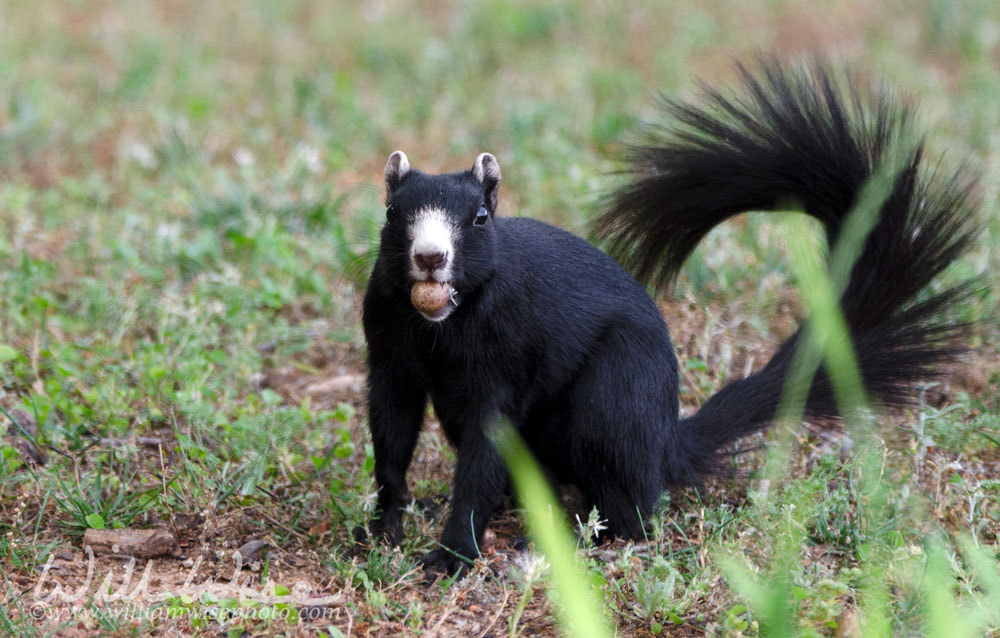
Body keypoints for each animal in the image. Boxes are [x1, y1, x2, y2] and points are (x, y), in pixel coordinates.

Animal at [358, 63, 976, 576]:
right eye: (391, 214)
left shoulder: (501, 361)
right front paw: (384, 525)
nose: (430, 257)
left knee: (630, 509)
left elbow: (483, 455)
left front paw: (452, 554)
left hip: (612, 393)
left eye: (481, 217)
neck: (440, 329)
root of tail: (664, 442)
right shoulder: (389, 350)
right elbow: (392, 433)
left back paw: (572, 536)